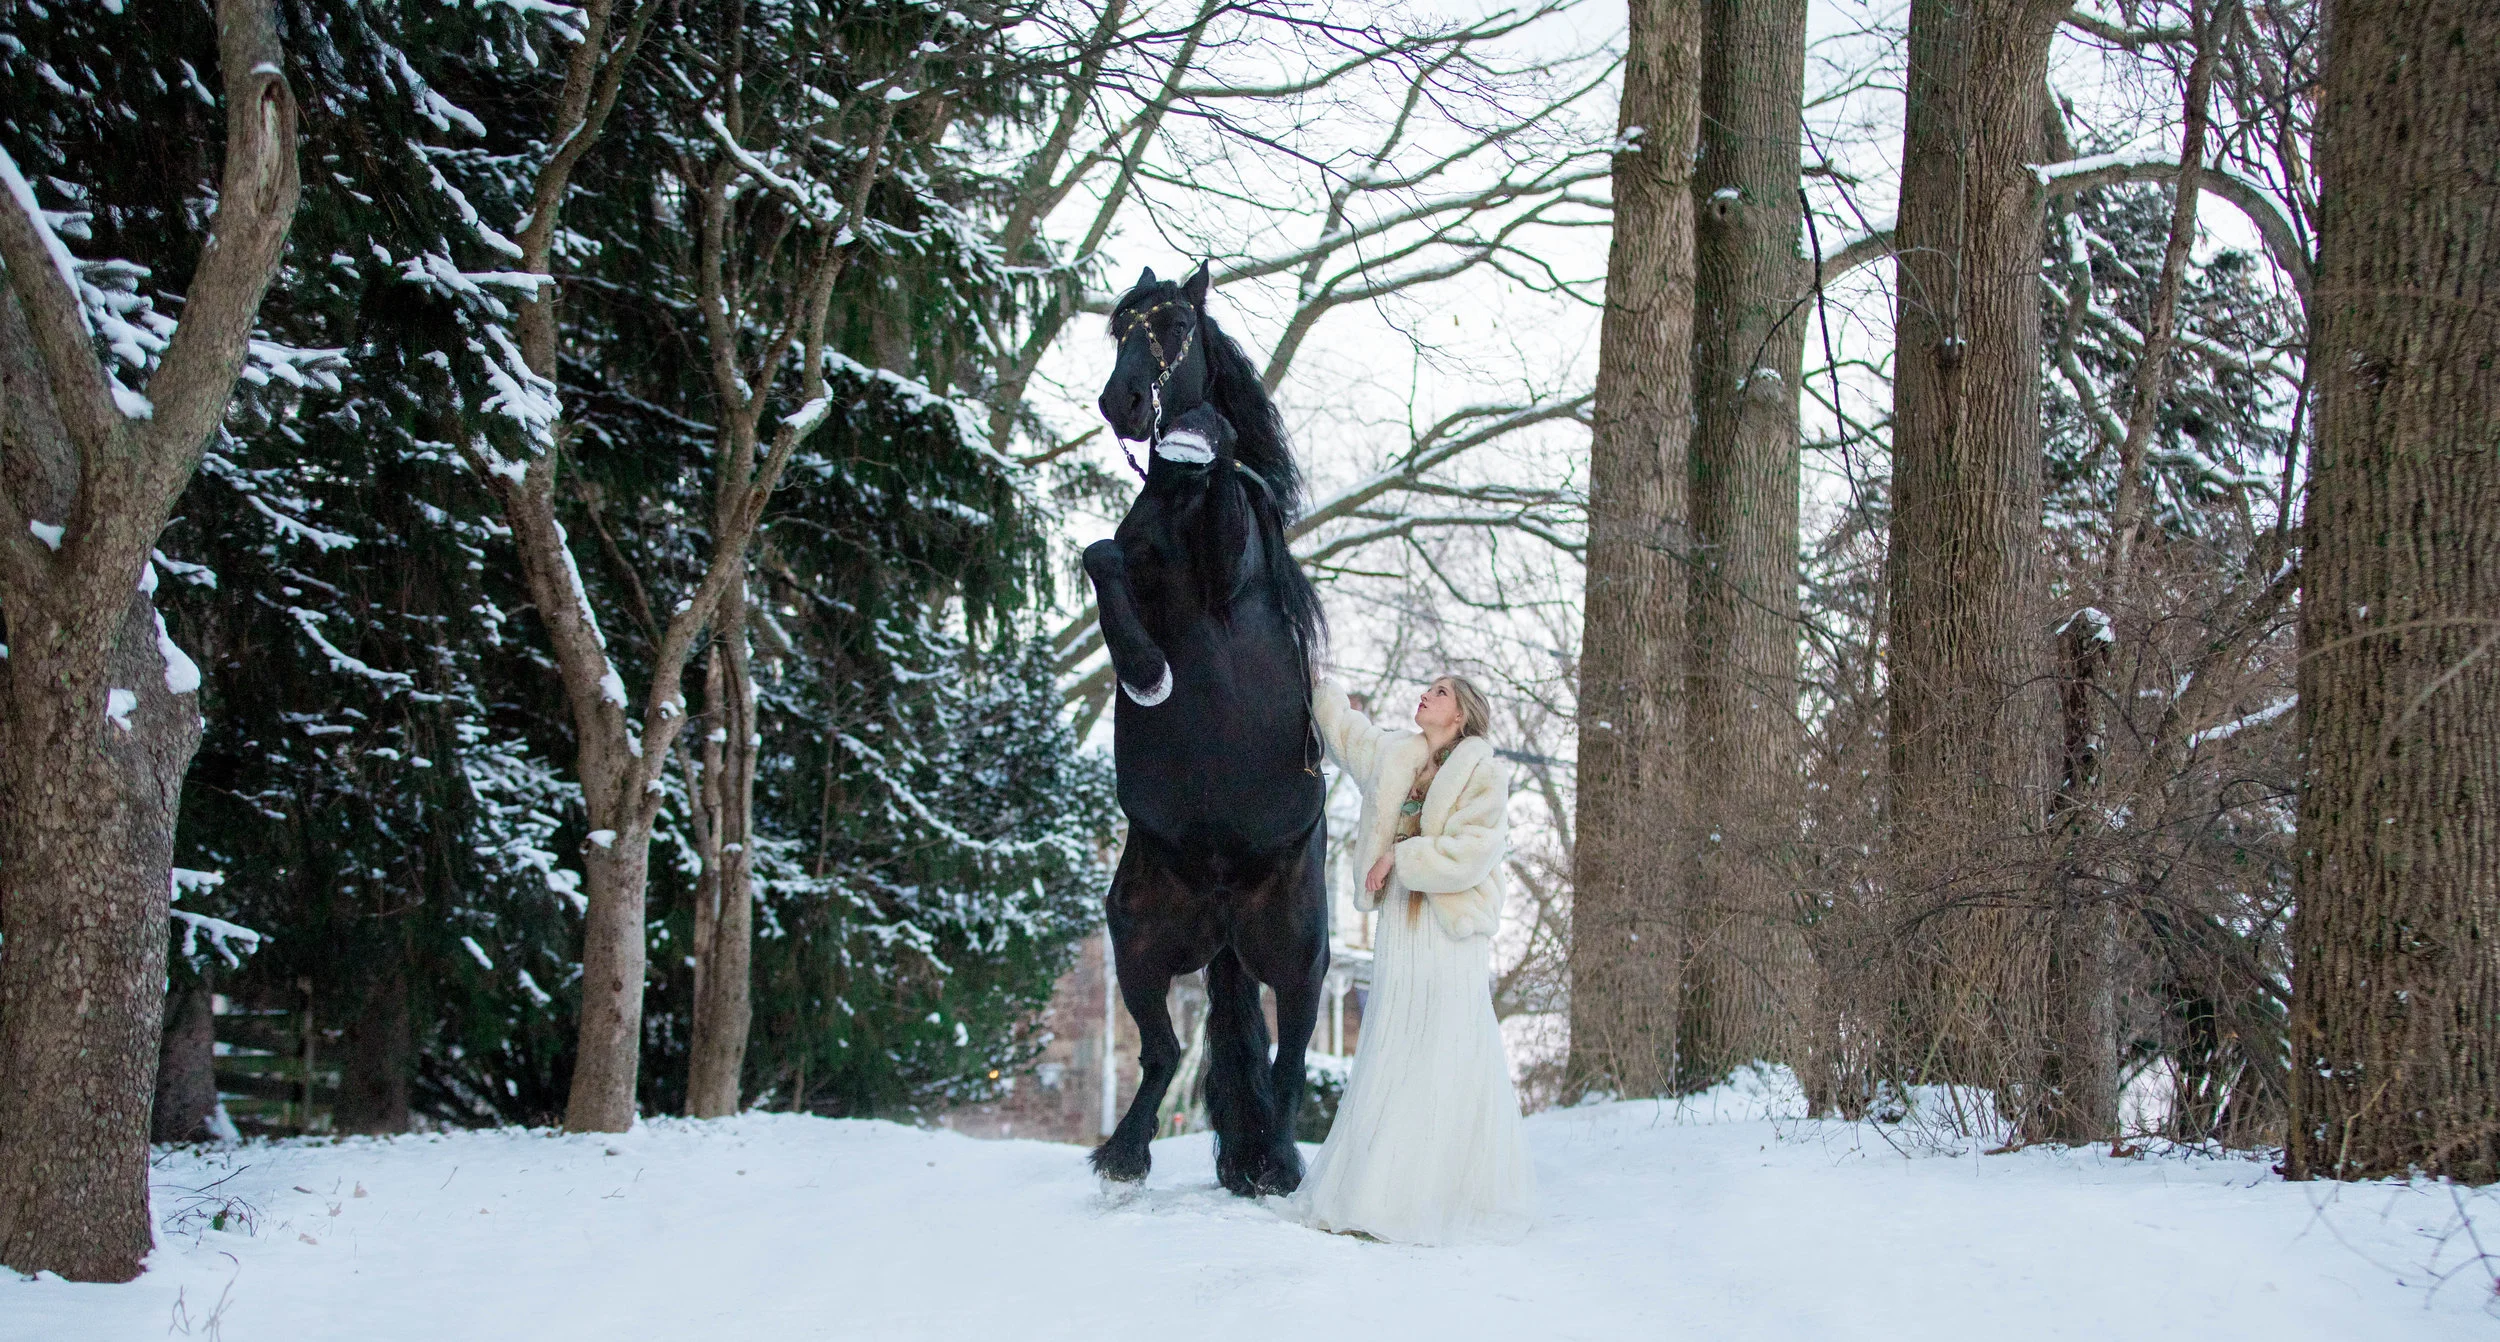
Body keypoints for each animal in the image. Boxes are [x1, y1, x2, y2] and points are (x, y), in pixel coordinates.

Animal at [1084, 263, 1329, 1198]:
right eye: (1121, 327)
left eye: (1178, 325)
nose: (1123, 402)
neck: (1181, 501)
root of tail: (1224, 913)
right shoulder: (1133, 564)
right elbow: (1101, 558)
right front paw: (1147, 673)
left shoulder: (1230, 566)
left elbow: (1225, 472)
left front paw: (1205, 435)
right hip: (1137, 937)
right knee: (1162, 1053)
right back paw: (1124, 1153)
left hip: (1299, 952)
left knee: (1289, 1066)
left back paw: (1278, 1165)